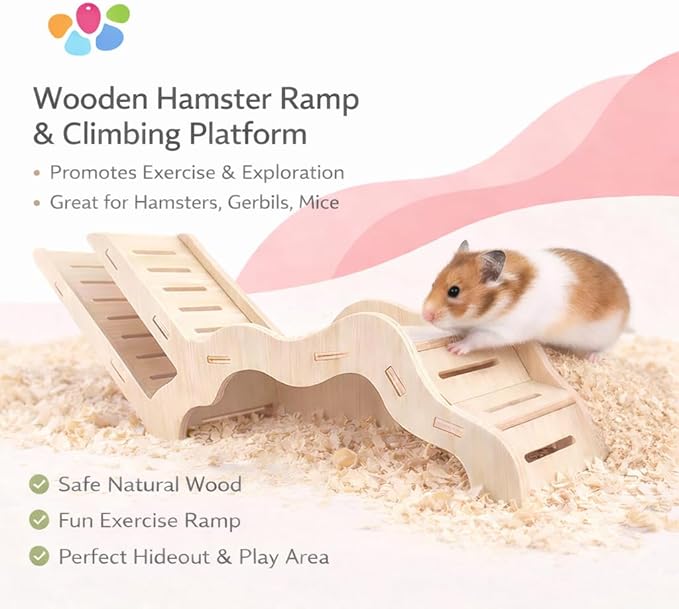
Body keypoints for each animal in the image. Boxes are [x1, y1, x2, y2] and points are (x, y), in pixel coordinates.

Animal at [422, 240, 630, 356]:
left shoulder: (504, 331)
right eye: (432, 283)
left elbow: (476, 338)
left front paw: (454, 348)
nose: (425, 315)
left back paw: (593, 357)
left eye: (454, 291)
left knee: (605, 349)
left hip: (605, 336)